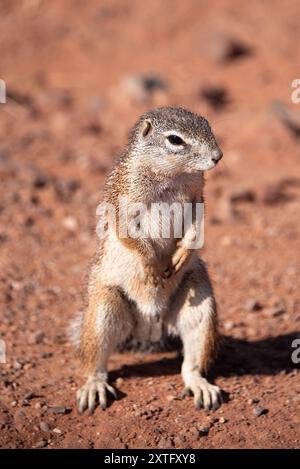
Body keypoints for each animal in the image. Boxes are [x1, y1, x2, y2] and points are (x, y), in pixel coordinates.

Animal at [72, 105, 223, 410]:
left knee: (191, 362)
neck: (172, 174)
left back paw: (200, 385)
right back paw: (94, 386)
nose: (218, 156)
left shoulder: (197, 195)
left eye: (207, 125)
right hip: (104, 307)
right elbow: (129, 233)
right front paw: (152, 265)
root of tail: (148, 328)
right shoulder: (124, 197)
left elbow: (197, 223)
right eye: (175, 140)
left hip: (199, 302)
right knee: (95, 360)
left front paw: (181, 254)